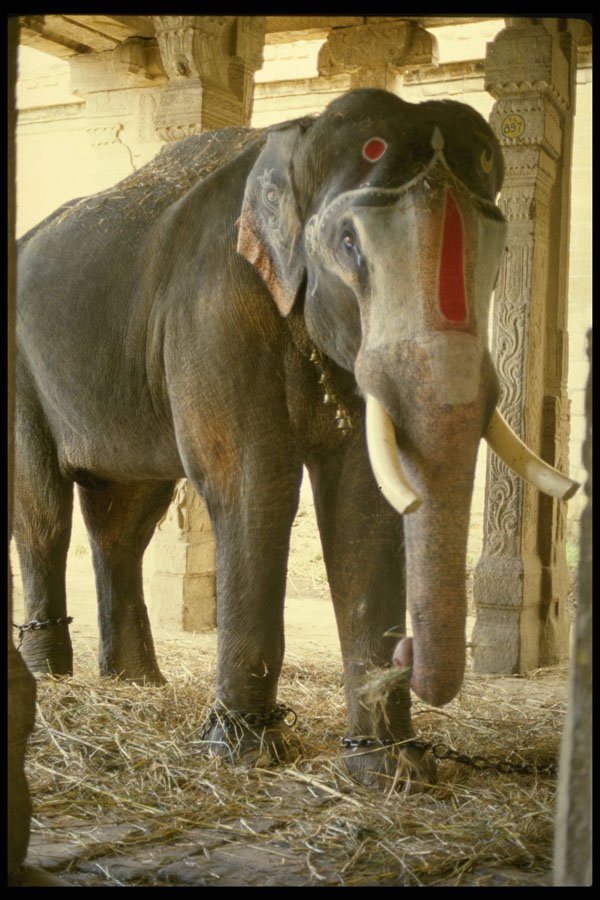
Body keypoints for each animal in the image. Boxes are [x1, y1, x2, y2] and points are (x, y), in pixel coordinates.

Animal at [14, 88, 578, 787]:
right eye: (348, 243)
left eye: (498, 253)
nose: (408, 654)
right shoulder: (217, 308)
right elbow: (254, 486)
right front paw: (243, 750)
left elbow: (363, 501)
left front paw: (387, 768)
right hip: (22, 372)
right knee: (42, 509)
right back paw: (54, 677)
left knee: (125, 516)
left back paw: (135, 685)